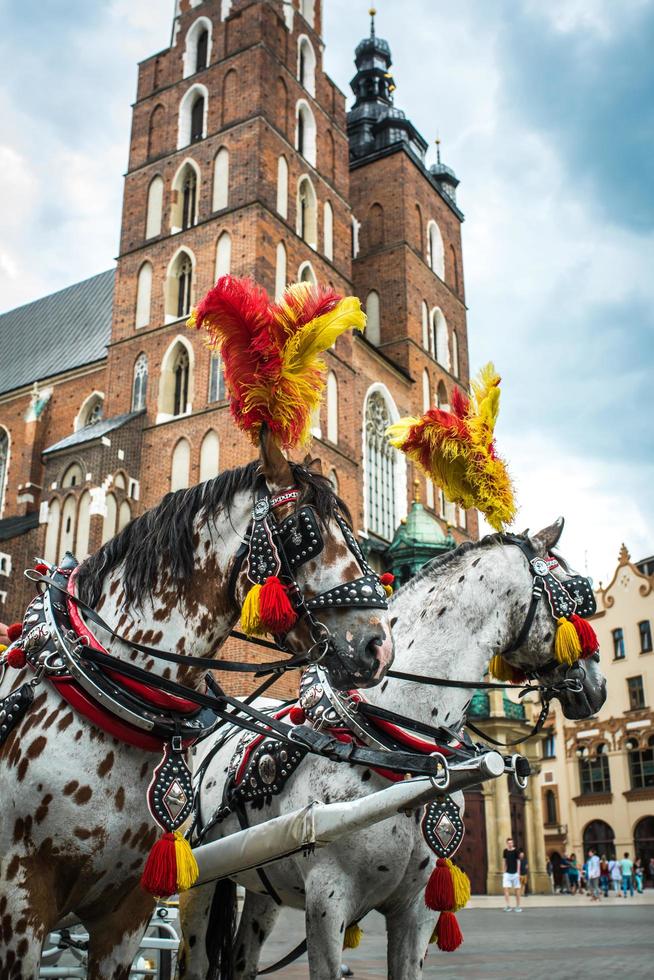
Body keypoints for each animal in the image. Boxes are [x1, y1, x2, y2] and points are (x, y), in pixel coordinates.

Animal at [179, 516, 608, 976]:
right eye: (576, 594)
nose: (598, 686)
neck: (399, 747)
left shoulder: (417, 908)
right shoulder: (326, 901)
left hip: (263, 885)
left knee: (242, 958)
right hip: (196, 877)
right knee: (196, 959)